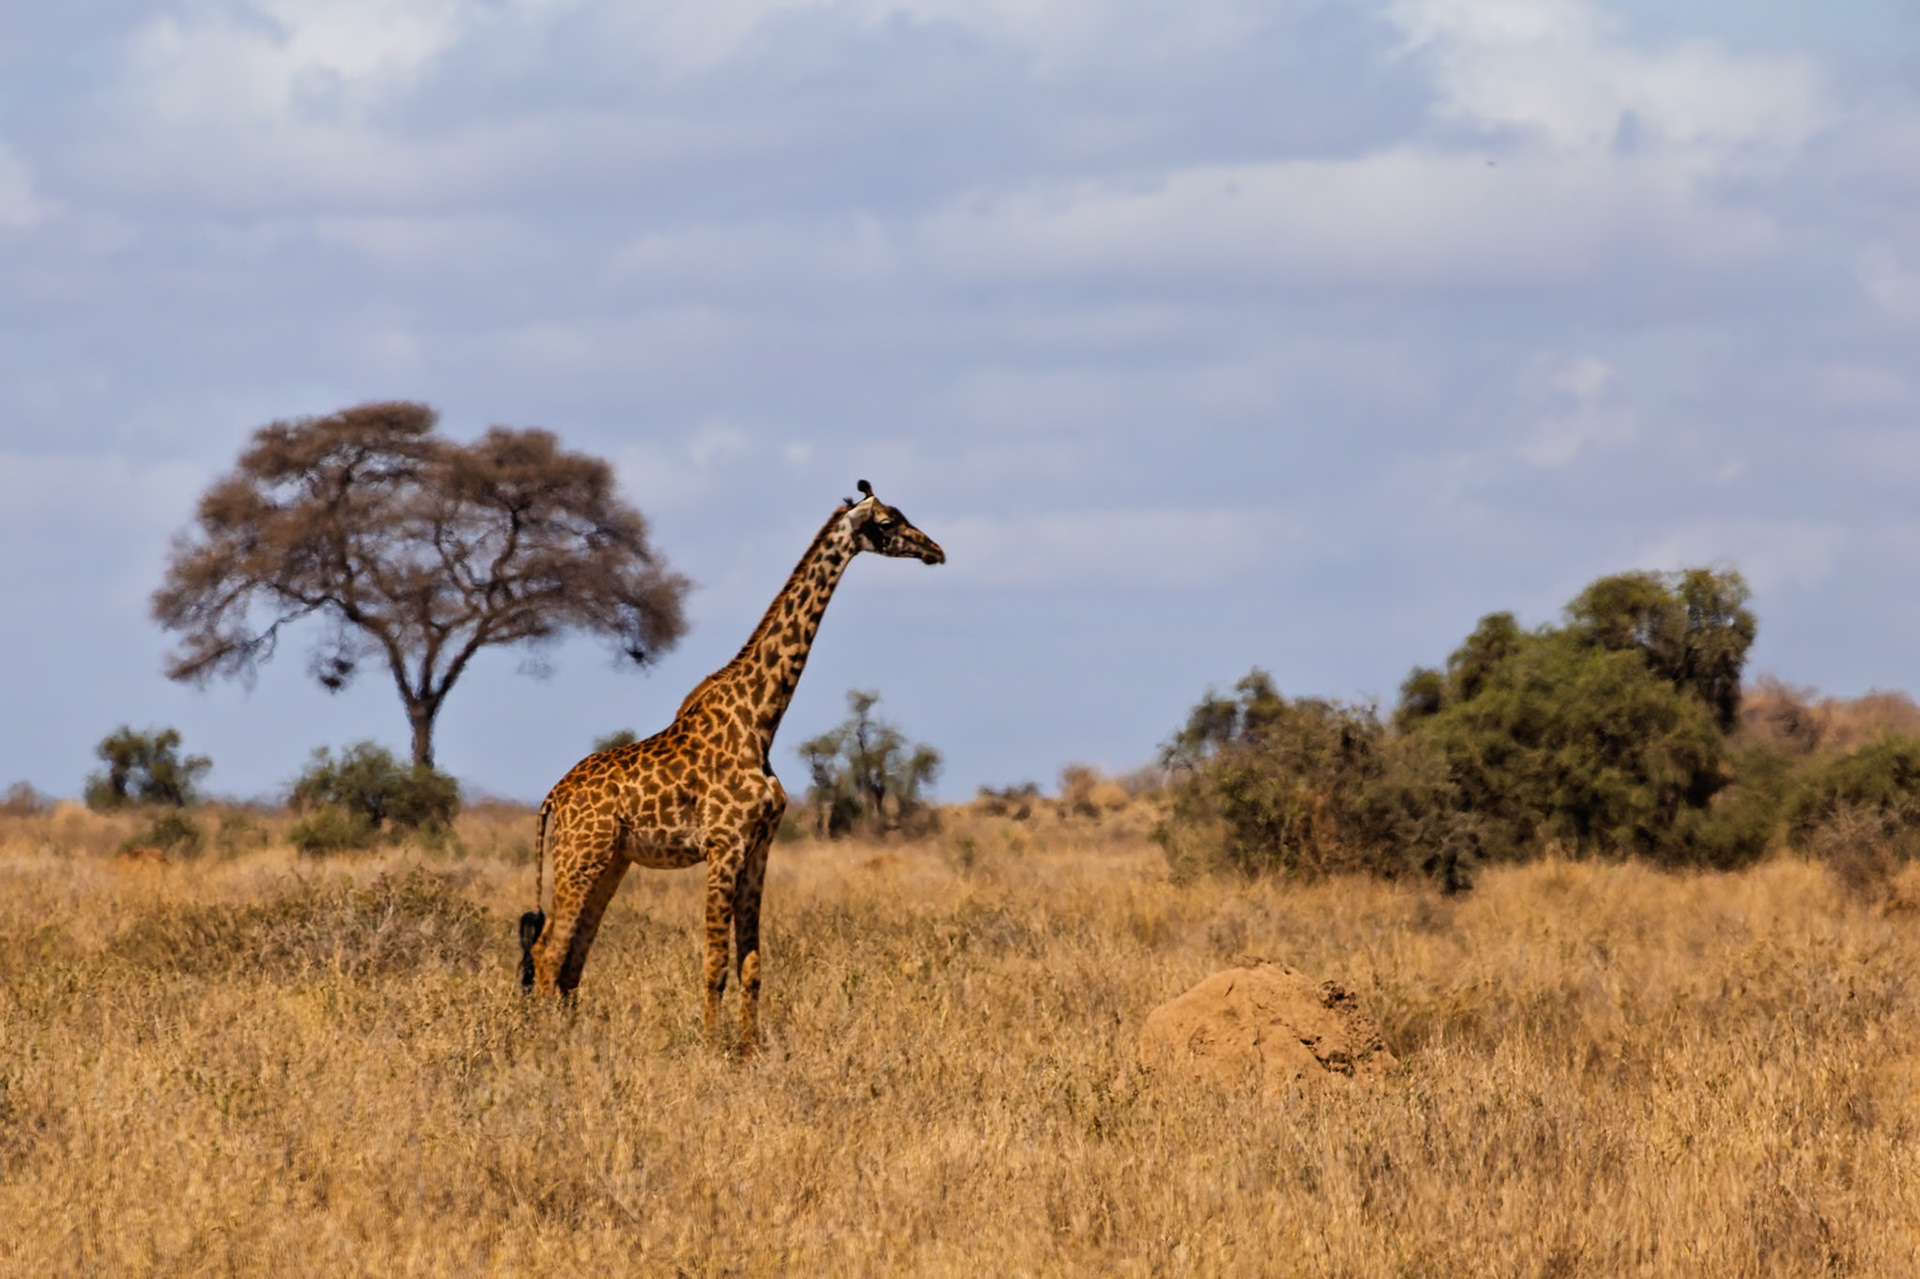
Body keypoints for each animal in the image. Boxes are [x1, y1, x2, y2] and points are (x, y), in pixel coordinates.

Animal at [518, 481, 944, 1053]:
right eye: (888, 522)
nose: (935, 550)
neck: (760, 720)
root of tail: (552, 798)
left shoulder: (760, 847)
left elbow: (753, 964)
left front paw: (748, 1049)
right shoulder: (724, 844)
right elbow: (716, 961)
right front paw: (711, 1044)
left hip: (610, 861)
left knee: (572, 958)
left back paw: (572, 1041)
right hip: (581, 857)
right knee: (548, 951)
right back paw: (547, 1044)